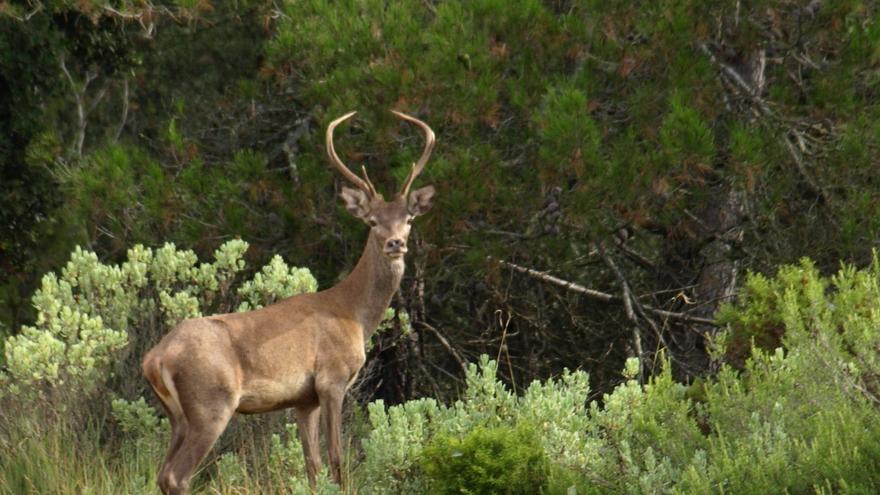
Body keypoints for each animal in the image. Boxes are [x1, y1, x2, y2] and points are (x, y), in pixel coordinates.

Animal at [142, 110, 440, 494]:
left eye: (409, 219)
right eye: (373, 222)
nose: (395, 243)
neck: (354, 314)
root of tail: (155, 357)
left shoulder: (303, 400)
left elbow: (312, 465)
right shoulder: (332, 379)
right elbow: (337, 459)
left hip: (177, 416)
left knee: (162, 472)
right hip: (210, 403)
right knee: (177, 475)